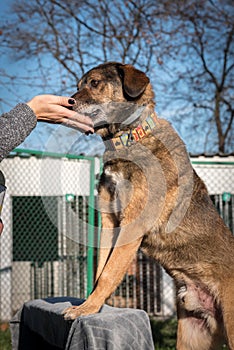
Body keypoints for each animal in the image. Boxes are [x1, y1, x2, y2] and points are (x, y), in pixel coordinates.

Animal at [62, 61, 234, 348]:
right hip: (191, 335)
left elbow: (108, 273)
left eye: (95, 83)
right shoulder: (110, 223)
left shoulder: (132, 226)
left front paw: (86, 308)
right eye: (79, 85)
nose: (68, 102)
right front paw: (92, 305)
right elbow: (100, 270)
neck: (129, 137)